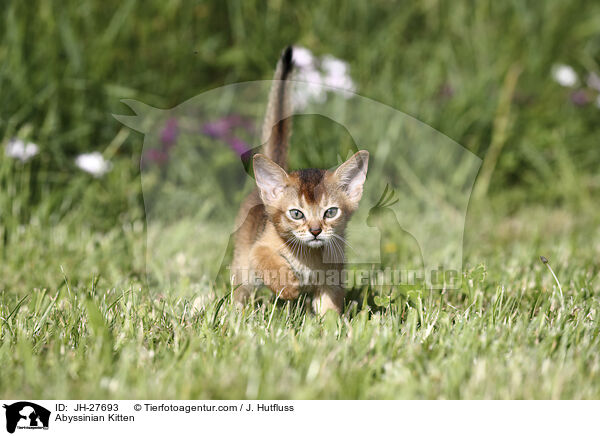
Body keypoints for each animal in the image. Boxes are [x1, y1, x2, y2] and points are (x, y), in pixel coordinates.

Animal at [232, 46, 368, 316]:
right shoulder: (257, 250)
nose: (315, 231)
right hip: (242, 265)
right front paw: (288, 286)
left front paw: (332, 325)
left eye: (330, 212)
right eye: (296, 214)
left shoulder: (332, 281)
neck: (309, 257)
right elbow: (266, 259)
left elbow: (329, 310)